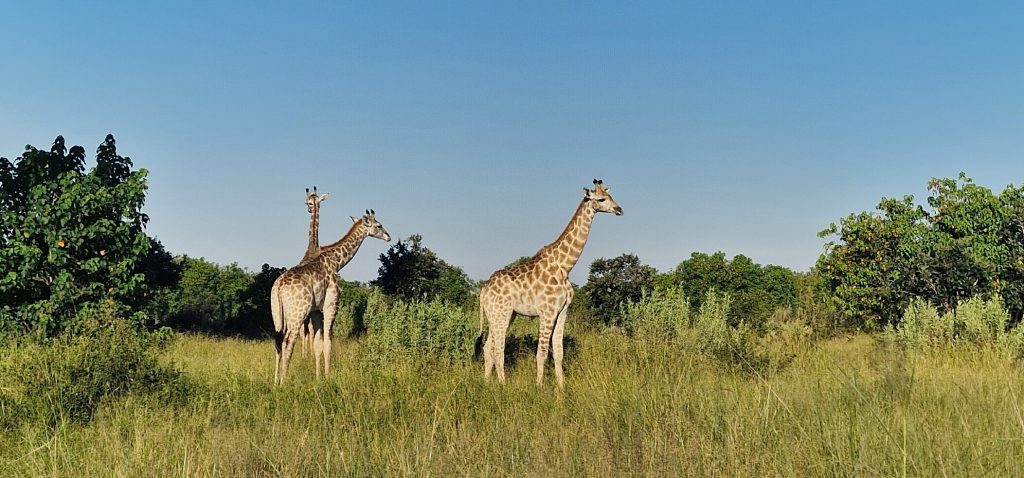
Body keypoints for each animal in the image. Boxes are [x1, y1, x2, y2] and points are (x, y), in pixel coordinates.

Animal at [270, 209, 391, 383]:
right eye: (379, 225)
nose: (389, 237)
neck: (337, 261)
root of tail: (279, 286)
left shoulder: (315, 310)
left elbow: (317, 344)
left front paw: (318, 377)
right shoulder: (331, 304)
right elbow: (328, 342)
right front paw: (328, 377)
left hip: (277, 314)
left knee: (278, 343)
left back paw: (275, 382)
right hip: (297, 313)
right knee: (288, 342)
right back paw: (284, 382)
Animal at [479, 179, 622, 388]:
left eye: (611, 196)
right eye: (601, 199)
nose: (619, 209)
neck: (565, 267)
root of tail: (483, 290)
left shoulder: (562, 311)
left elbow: (559, 353)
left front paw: (561, 388)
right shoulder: (547, 312)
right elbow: (541, 353)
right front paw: (539, 387)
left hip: (501, 315)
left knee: (488, 346)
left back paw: (487, 382)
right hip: (501, 314)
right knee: (498, 349)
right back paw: (503, 384)